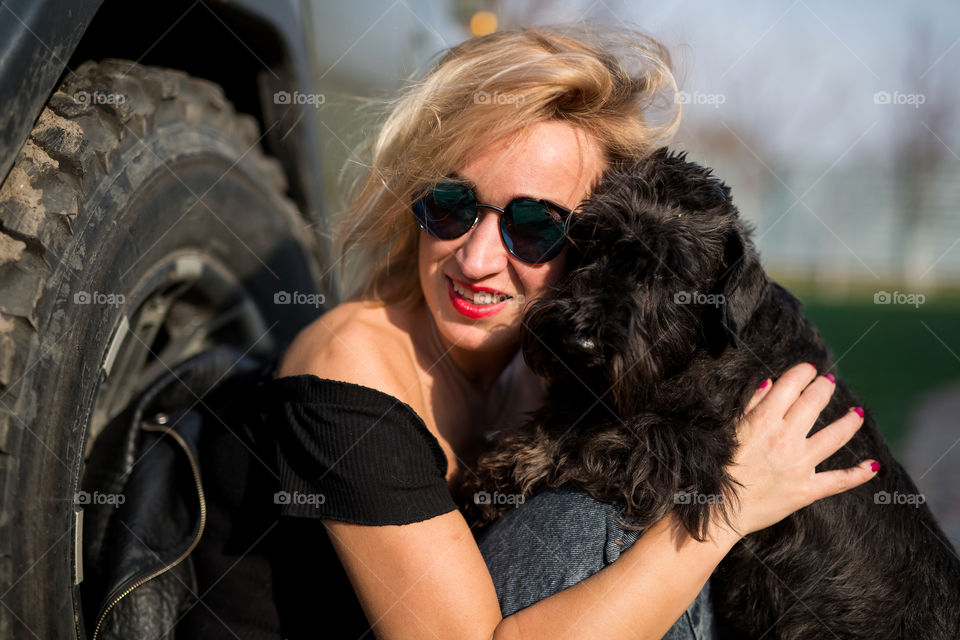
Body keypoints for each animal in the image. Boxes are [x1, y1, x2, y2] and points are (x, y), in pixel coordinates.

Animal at [478, 148, 960, 636]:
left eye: (670, 272)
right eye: (593, 241)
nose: (577, 341)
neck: (707, 346)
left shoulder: (684, 456)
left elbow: (590, 438)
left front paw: (503, 469)